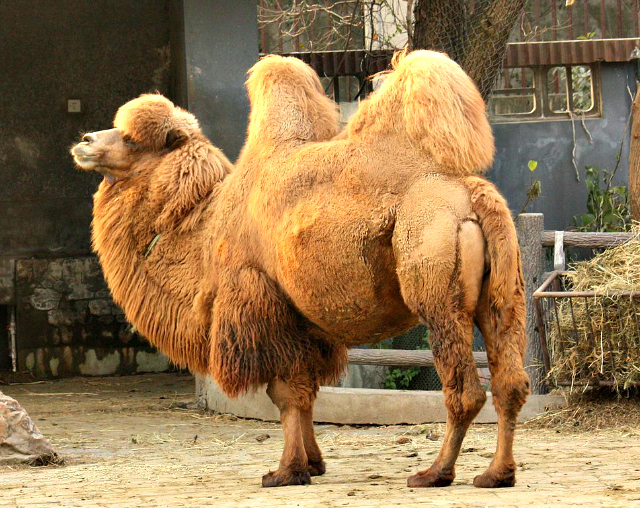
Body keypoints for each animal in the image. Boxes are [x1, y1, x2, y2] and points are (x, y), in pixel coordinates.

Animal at [71, 49, 529, 490]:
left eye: (131, 139)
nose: (85, 141)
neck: (204, 231)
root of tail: (472, 195)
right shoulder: (306, 322)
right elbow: (306, 394)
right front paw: (313, 462)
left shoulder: (262, 305)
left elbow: (285, 394)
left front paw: (285, 471)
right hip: (503, 296)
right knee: (510, 383)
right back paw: (496, 474)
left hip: (435, 287)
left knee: (465, 390)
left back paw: (435, 473)